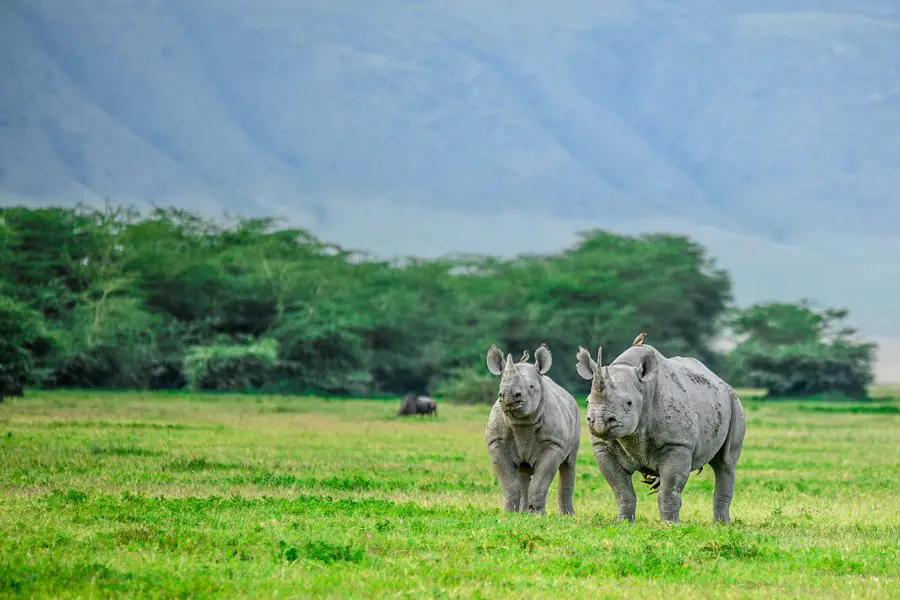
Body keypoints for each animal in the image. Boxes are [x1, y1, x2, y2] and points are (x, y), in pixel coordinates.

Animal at [488, 342, 580, 516]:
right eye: (500, 387)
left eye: (531, 387)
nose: (508, 395)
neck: (522, 424)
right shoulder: (496, 443)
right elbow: (509, 482)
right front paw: (509, 513)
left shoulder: (553, 444)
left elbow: (541, 480)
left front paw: (538, 514)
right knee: (523, 472)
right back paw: (523, 512)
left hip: (576, 415)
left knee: (569, 465)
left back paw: (568, 515)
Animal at [576, 344, 744, 524]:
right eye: (587, 401)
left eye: (629, 403)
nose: (599, 422)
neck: (644, 389)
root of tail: (721, 381)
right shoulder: (603, 446)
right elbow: (621, 490)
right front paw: (624, 522)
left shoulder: (677, 444)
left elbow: (669, 491)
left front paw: (670, 524)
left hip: (734, 403)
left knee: (725, 463)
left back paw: (722, 524)